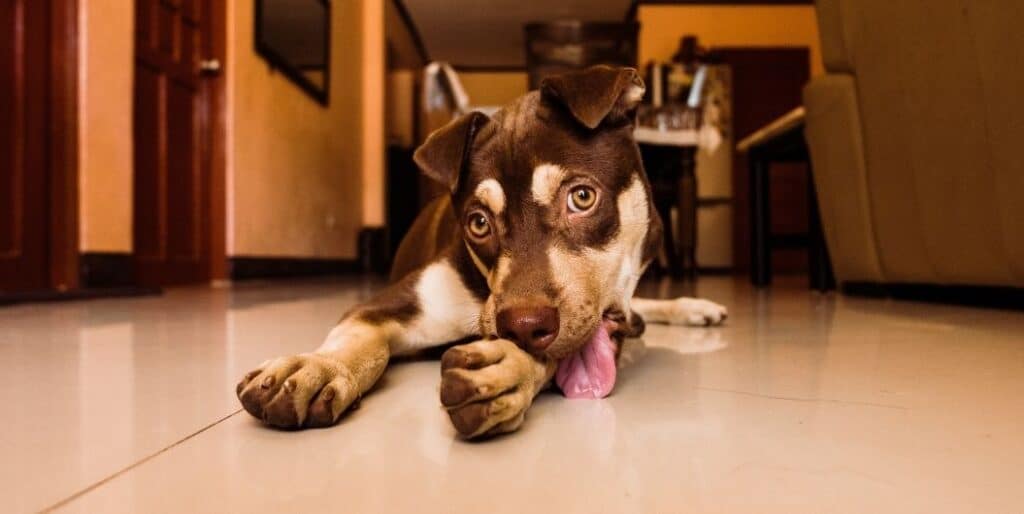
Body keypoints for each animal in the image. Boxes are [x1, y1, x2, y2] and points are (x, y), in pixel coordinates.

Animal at [234, 65, 724, 438]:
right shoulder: (387, 304)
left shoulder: (595, 326)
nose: (522, 325)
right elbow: (359, 339)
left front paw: (506, 370)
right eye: (478, 223)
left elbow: (558, 349)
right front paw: (317, 367)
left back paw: (691, 306)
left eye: (582, 197)